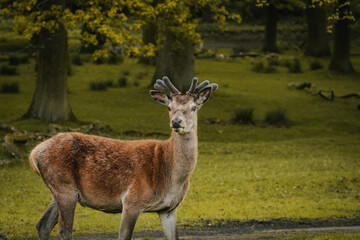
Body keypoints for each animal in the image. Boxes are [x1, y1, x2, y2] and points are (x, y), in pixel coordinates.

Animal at [28, 76, 217, 239]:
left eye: (193, 107)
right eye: (169, 107)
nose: (176, 122)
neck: (171, 178)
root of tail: (35, 152)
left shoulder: (169, 209)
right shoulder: (131, 201)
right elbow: (123, 235)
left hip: (59, 189)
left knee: (42, 224)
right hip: (64, 187)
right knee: (64, 231)